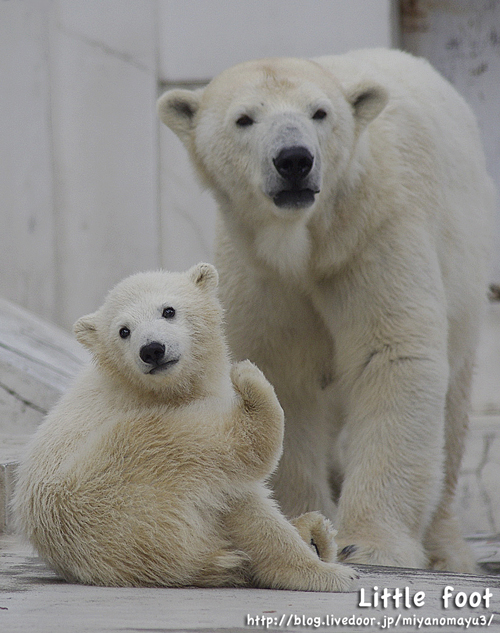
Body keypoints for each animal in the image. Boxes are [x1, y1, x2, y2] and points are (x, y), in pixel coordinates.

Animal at [158, 49, 494, 572]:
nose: (294, 159)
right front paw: (305, 529)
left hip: (464, 277)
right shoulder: (258, 275)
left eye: (320, 112)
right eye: (244, 118)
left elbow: (391, 355)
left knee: (451, 410)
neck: (308, 241)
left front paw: (371, 544)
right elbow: (278, 378)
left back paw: (448, 551)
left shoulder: (374, 234)